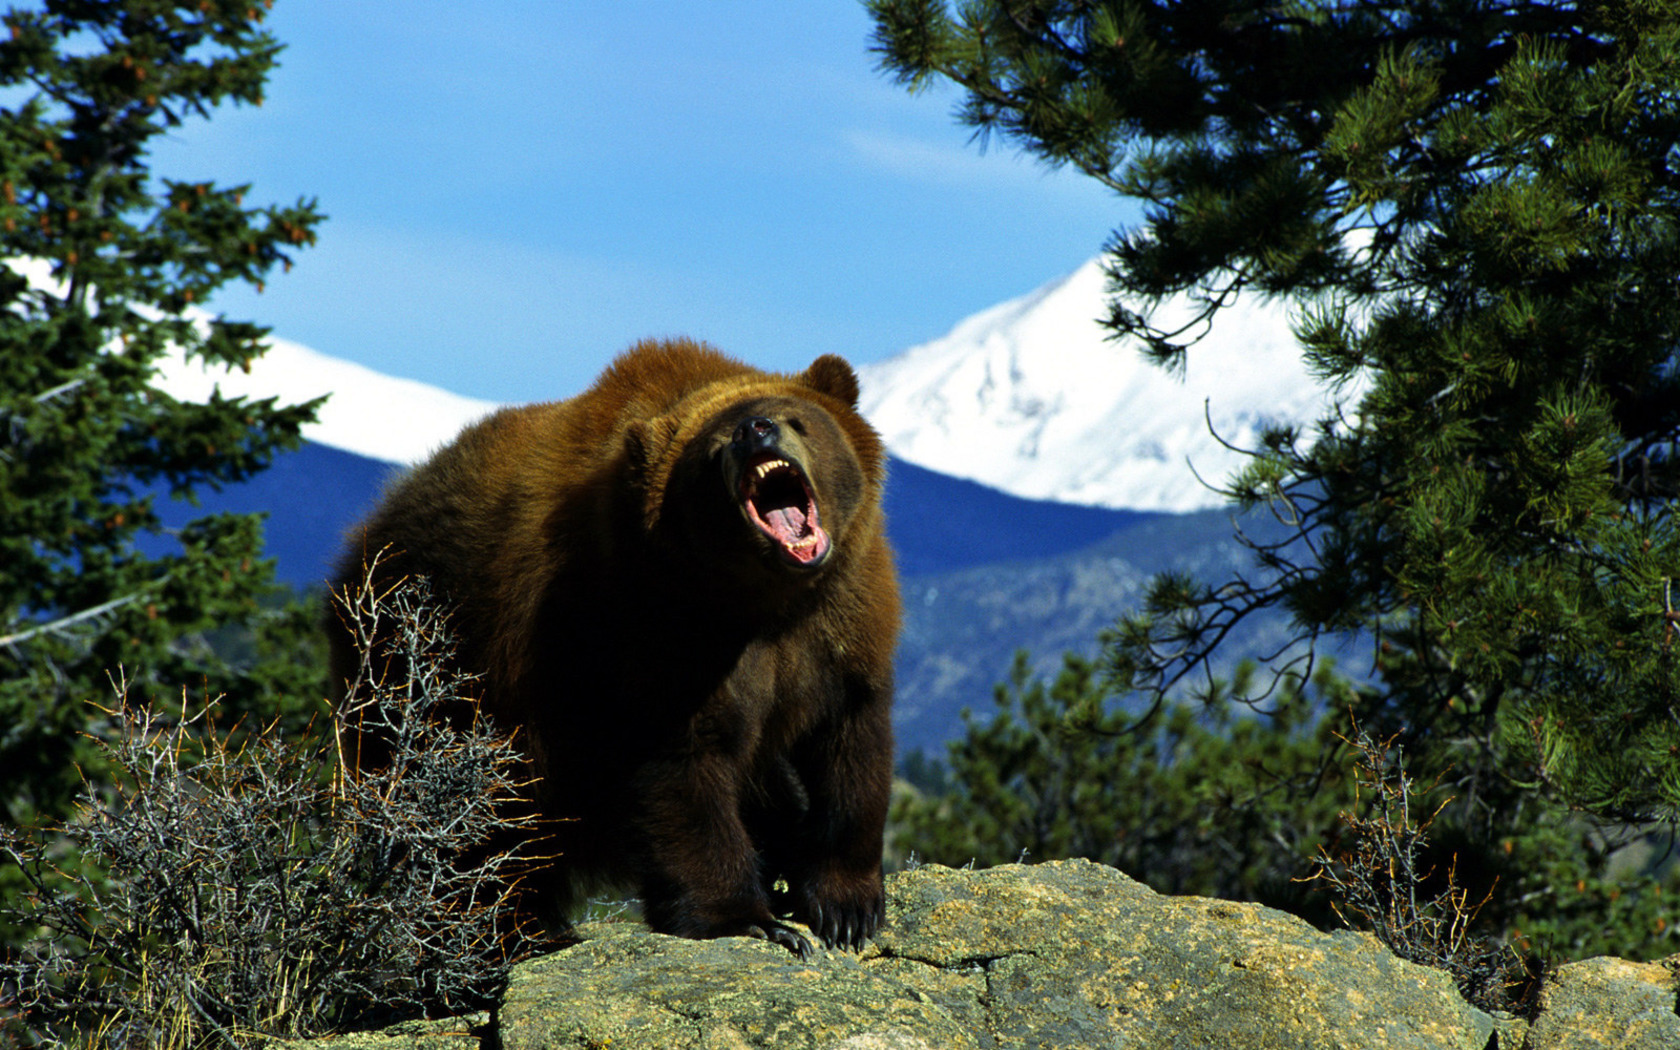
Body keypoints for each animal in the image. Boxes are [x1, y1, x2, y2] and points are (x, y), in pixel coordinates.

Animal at [330, 337, 907, 960]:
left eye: (794, 418)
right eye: (714, 449)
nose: (755, 430)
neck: (765, 597)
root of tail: (362, 538)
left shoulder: (842, 625)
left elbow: (851, 748)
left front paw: (844, 908)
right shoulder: (651, 633)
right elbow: (683, 772)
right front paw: (748, 919)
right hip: (432, 672)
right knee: (480, 823)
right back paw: (517, 932)